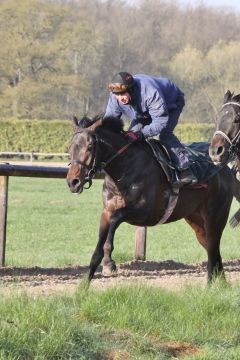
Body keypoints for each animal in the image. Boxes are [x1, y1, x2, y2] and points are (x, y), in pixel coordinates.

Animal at [67, 114, 236, 282]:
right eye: (70, 148)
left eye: (89, 147)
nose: (73, 182)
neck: (124, 168)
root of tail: (225, 168)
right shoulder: (106, 211)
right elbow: (98, 249)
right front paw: (84, 285)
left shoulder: (145, 213)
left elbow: (116, 218)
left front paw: (109, 262)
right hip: (196, 220)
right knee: (212, 248)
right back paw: (221, 283)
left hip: (215, 217)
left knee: (213, 247)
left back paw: (210, 283)